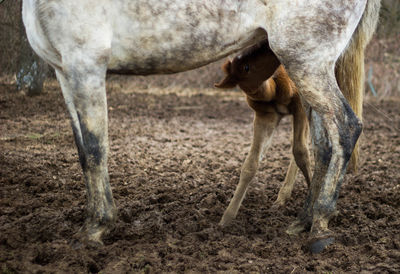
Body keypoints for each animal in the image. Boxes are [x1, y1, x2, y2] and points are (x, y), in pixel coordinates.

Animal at [23, 0, 380, 253]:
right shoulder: (64, 71)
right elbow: (84, 152)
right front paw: (89, 225)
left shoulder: (86, 66)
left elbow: (97, 149)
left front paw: (97, 227)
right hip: (310, 67)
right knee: (324, 144)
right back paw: (302, 222)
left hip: (307, 62)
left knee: (346, 128)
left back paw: (320, 226)